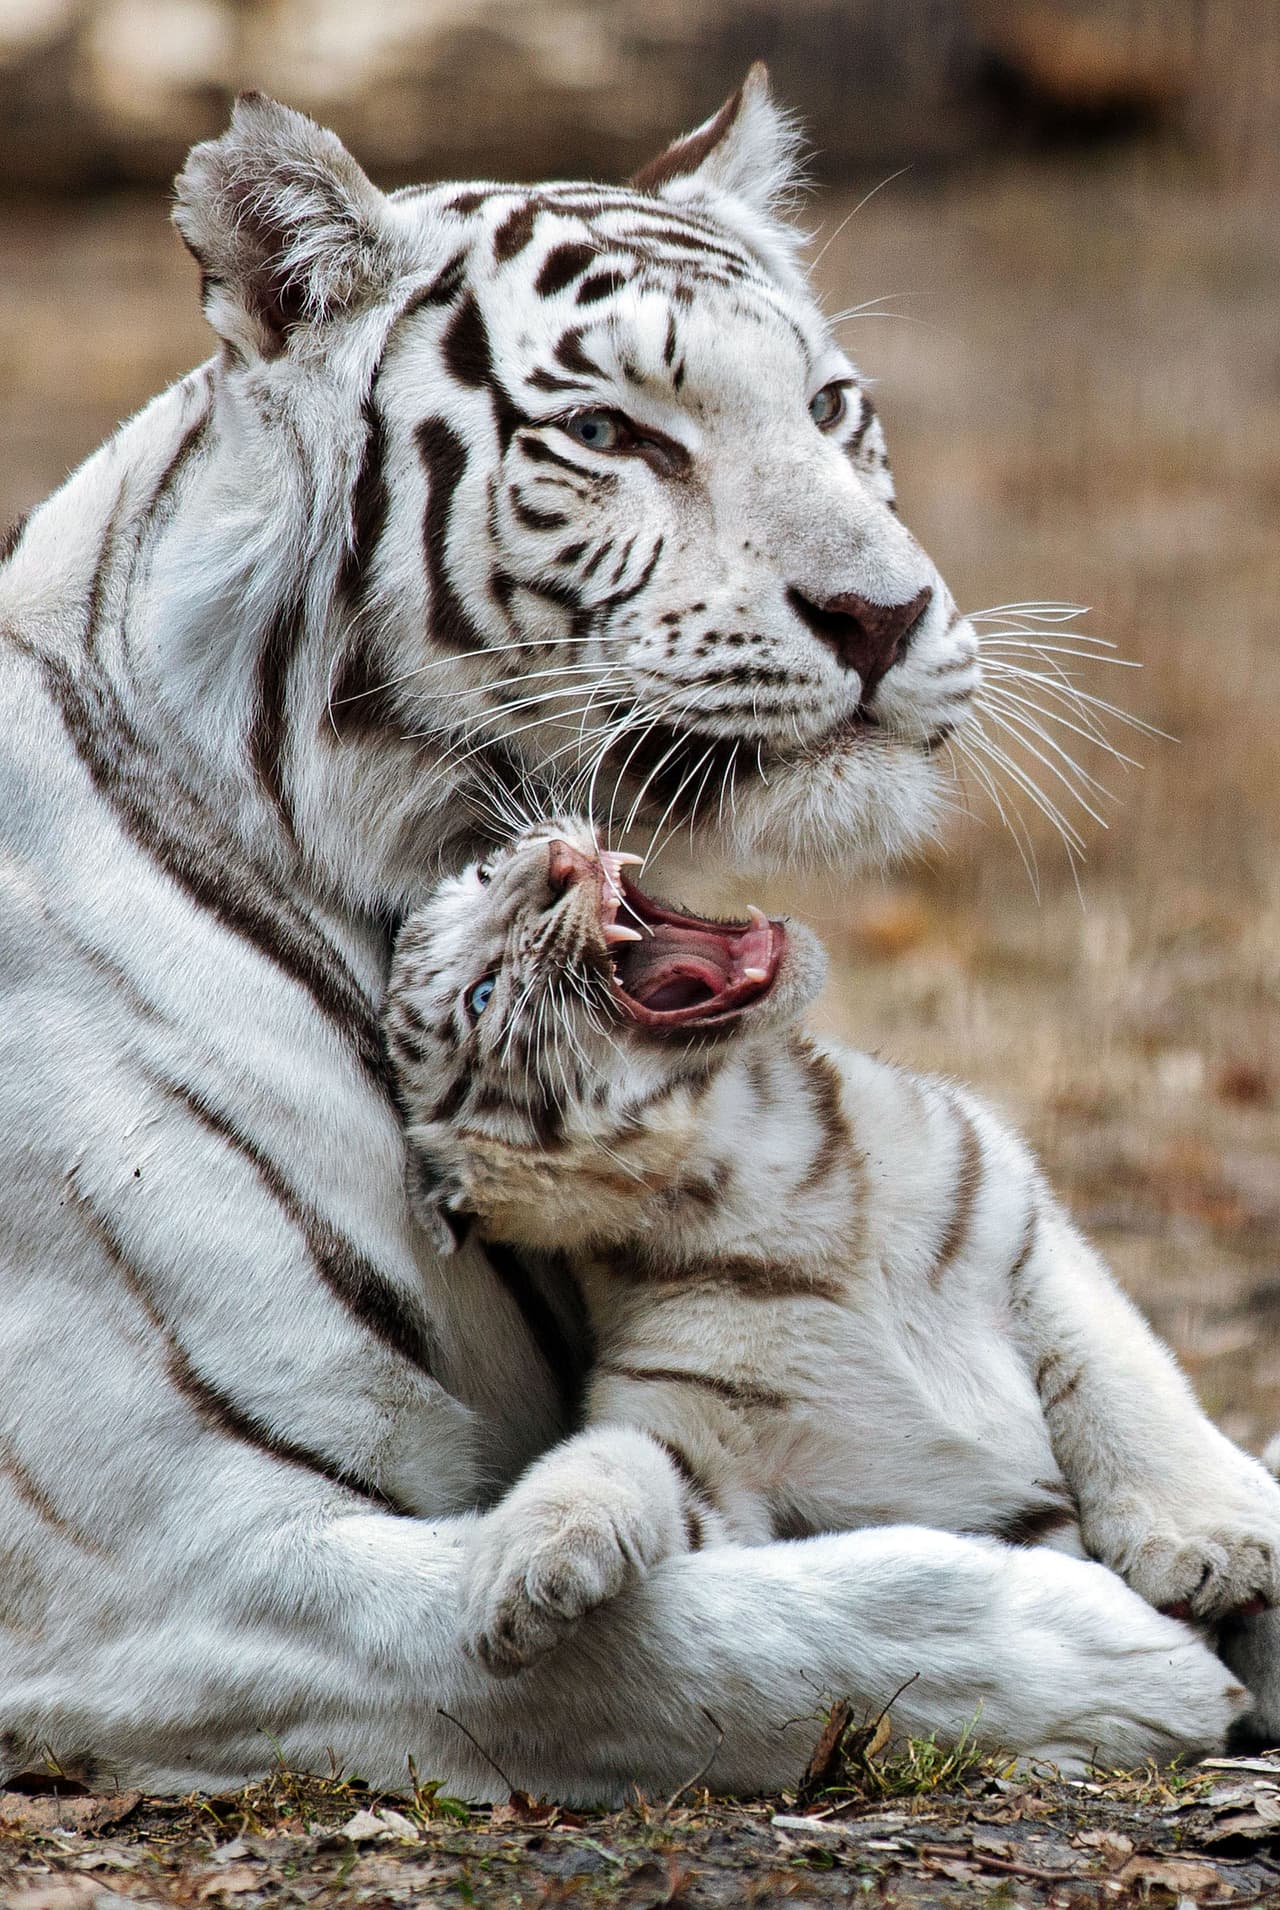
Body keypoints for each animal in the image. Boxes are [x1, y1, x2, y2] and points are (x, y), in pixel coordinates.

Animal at [385, 818, 1280, 1718]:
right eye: (482, 996)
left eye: (486, 872)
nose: (555, 861)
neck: (759, 1152)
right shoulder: (711, 1454)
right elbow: (613, 1462)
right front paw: (523, 1569)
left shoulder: (1031, 1251)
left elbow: (1130, 1392)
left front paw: (1210, 1547)